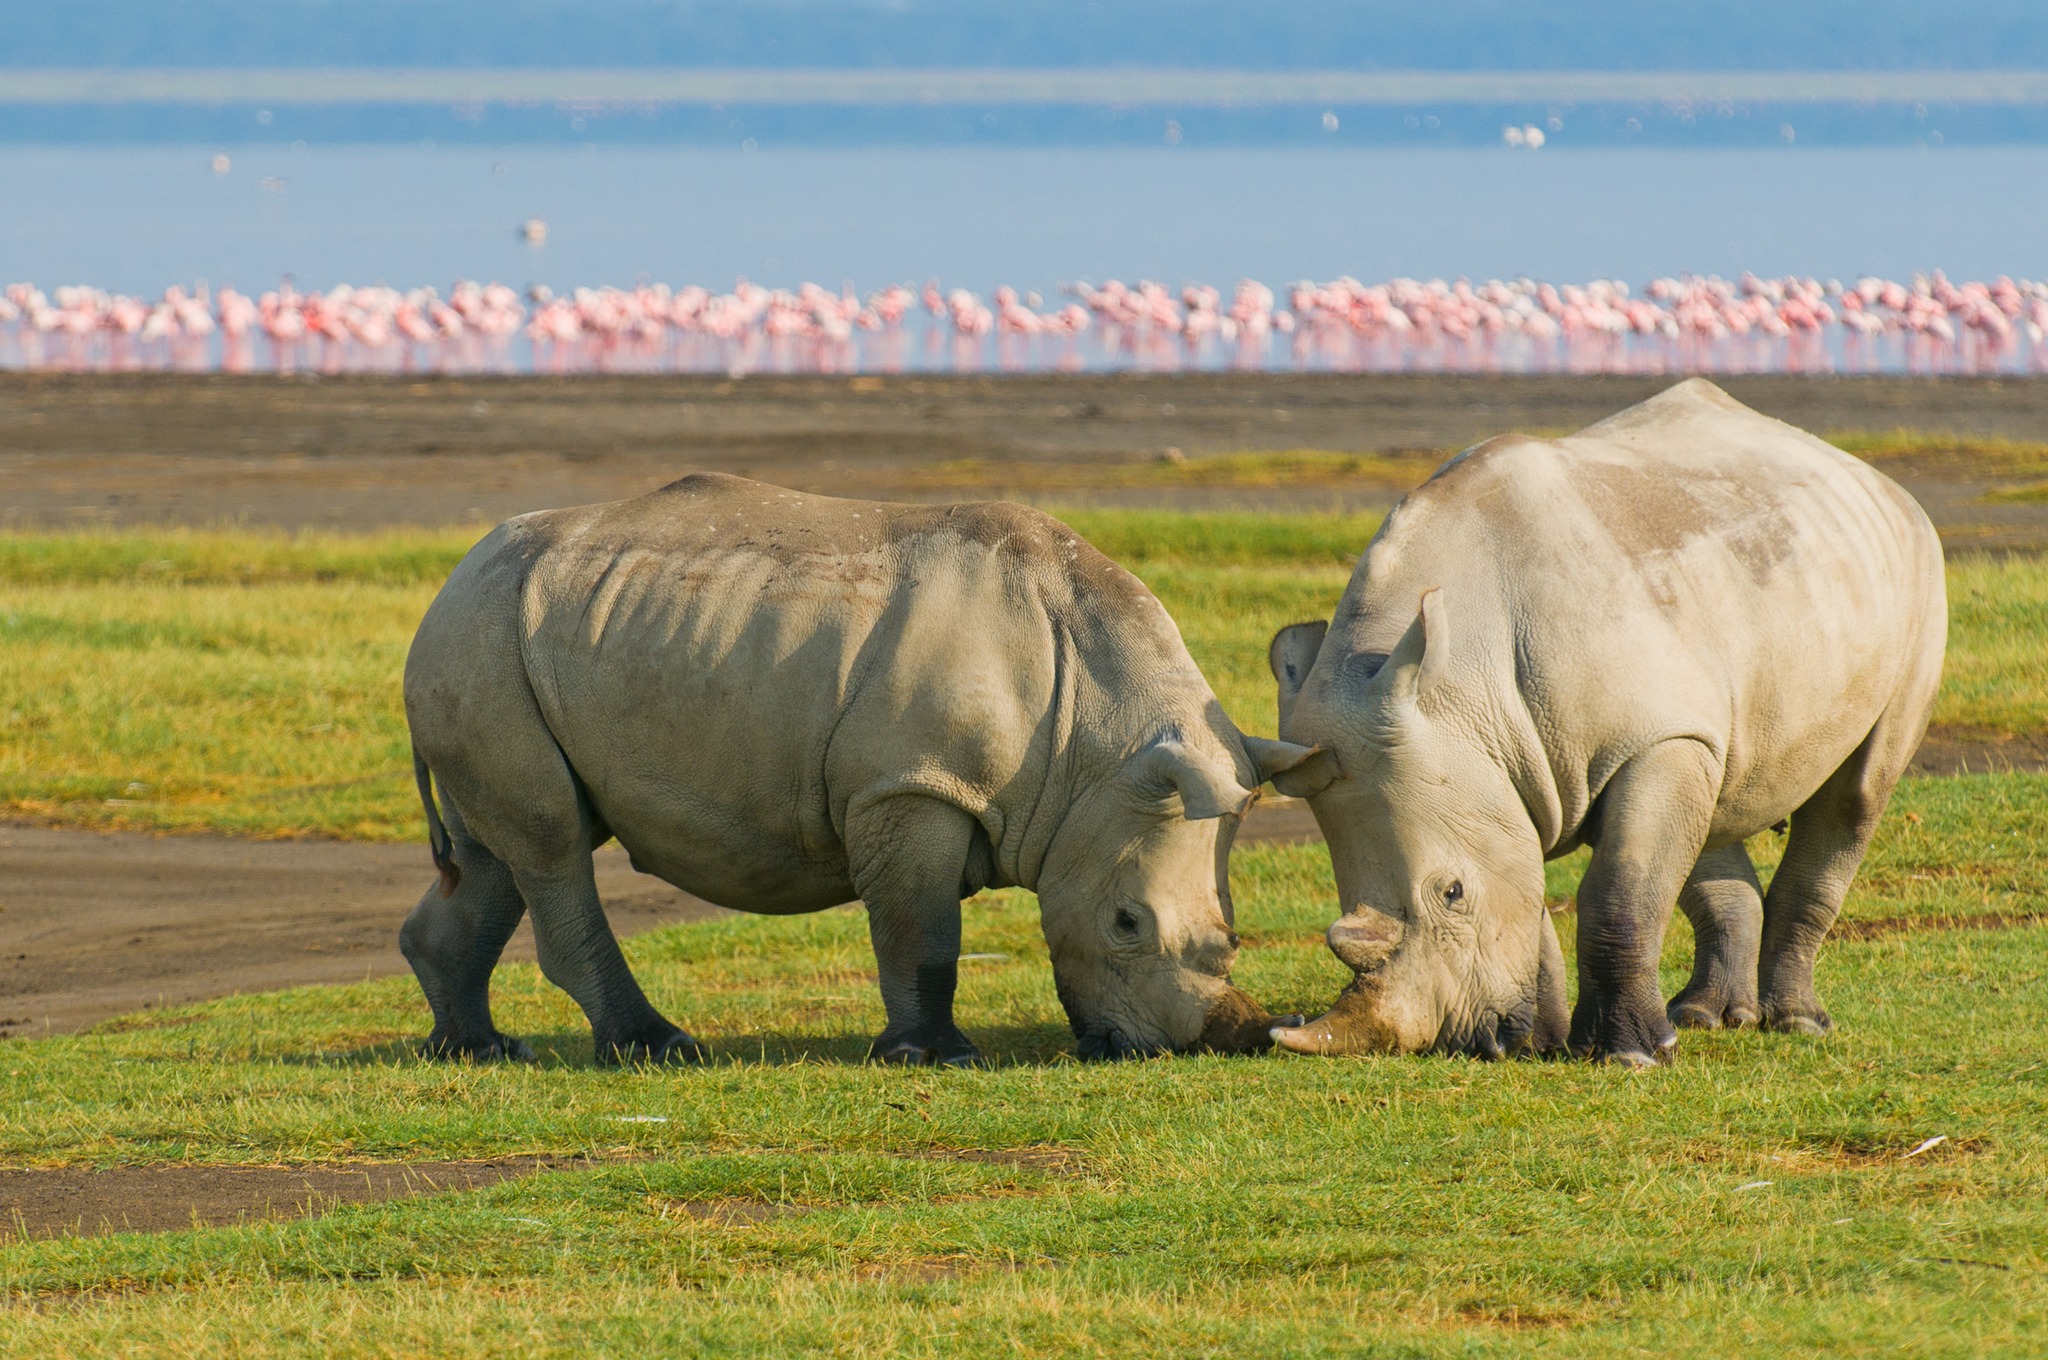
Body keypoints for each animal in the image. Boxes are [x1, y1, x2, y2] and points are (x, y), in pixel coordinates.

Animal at [401, 473, 1315, 1066]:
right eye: (1127, 922)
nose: (1200, 1044)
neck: (1098, 743)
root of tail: (450, 579)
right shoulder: (911, 784)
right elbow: (923, 930)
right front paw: (934, 1057)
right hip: (483, 635)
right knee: (550, 839)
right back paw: (657, 1049)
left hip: (512, 639)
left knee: (499, 851)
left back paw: (478, 1050)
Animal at [1265, 379, 1947, 1065]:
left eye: (1452, 892)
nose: (1472, 1043)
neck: (1460, 687)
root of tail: (1870, 476)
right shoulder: (1503, 769)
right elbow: (1533, 889)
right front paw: (1547, 1042)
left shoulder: (1646, 738)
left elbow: (1619, 890)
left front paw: (1628, 1056)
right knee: (1715, 797)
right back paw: (1705, 1018)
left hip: (1918, 568)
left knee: (1855, 796)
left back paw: (1797, 1023)